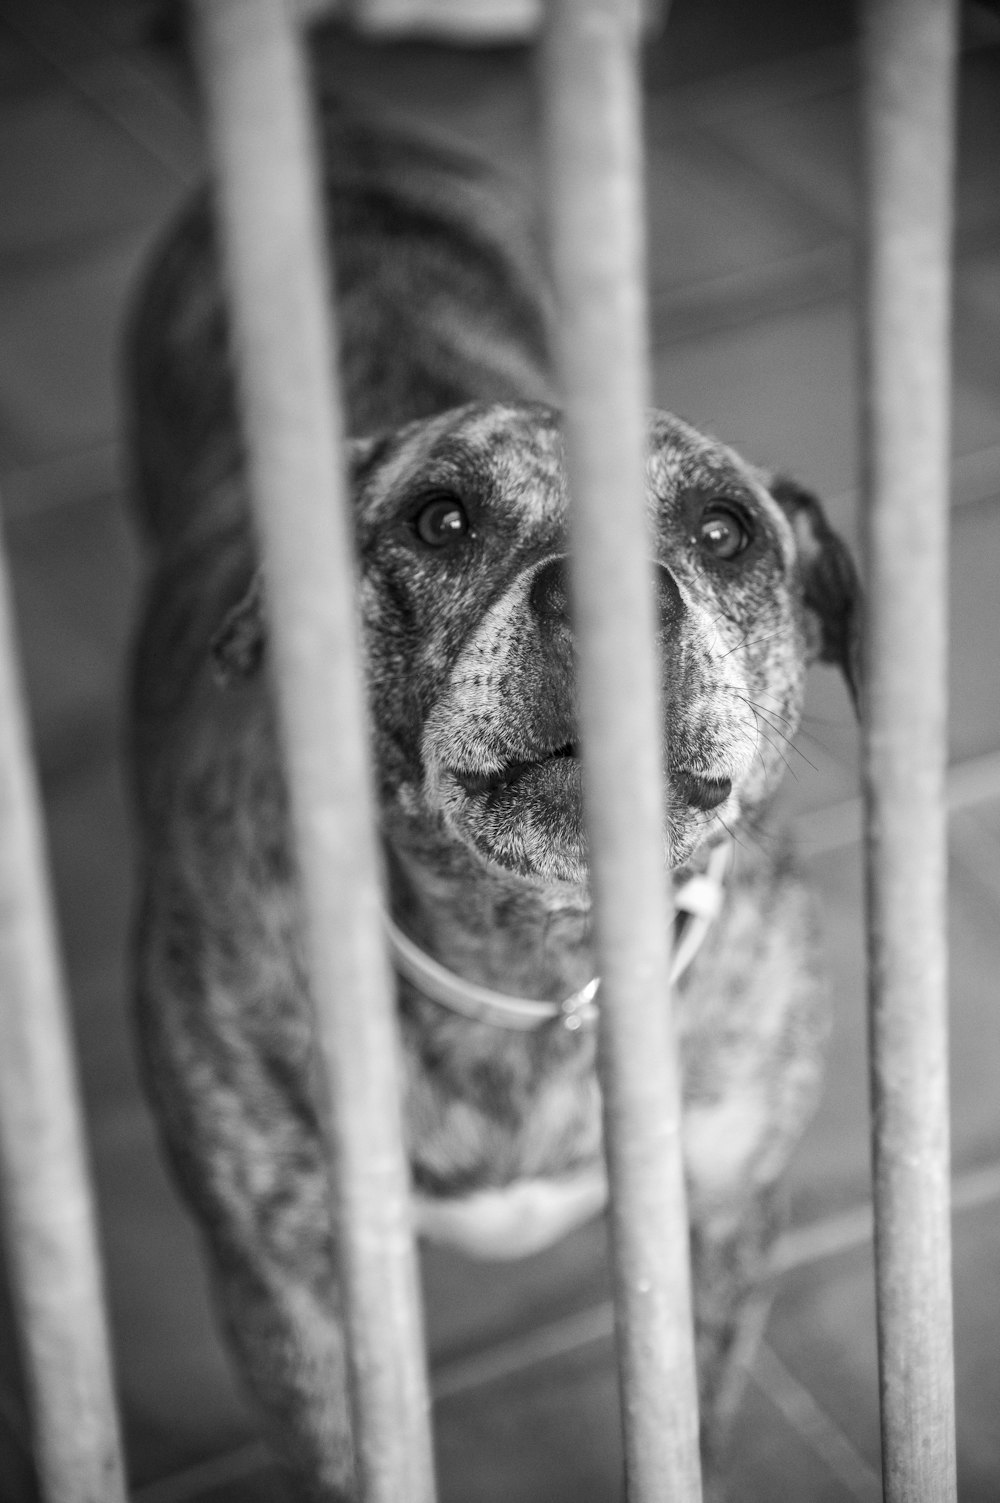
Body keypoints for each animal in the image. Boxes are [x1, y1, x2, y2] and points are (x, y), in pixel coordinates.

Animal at [124, 99, 860, 1496]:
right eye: (440, 520)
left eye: (725, 533)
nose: (606, 599)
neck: (532, 960)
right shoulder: (288, 1297)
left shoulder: (724, 1216)